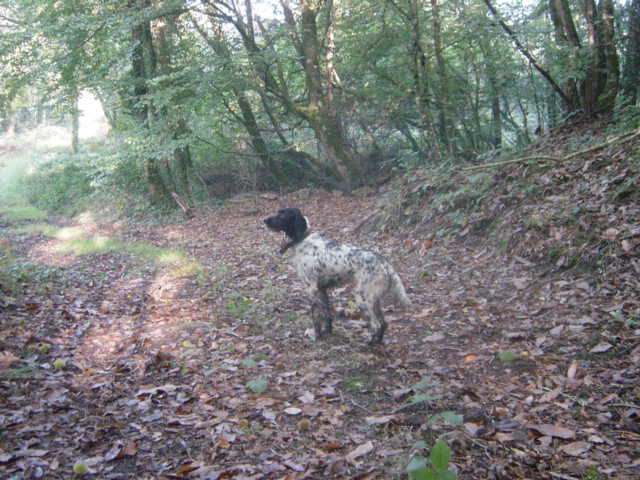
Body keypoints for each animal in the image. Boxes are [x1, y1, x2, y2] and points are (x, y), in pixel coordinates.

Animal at [264, 208, 410, 344]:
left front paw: (316, 336)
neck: (303, 239)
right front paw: (327, 333)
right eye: (278, 212)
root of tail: (386, 263)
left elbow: (316, 318)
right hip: (374, 299)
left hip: (362, 297)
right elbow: (327, 315)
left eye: (282, 214)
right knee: (384, 323)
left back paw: (368, 344)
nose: (264, 220)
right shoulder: (322, 290)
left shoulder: (311, 289)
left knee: (376, 325)